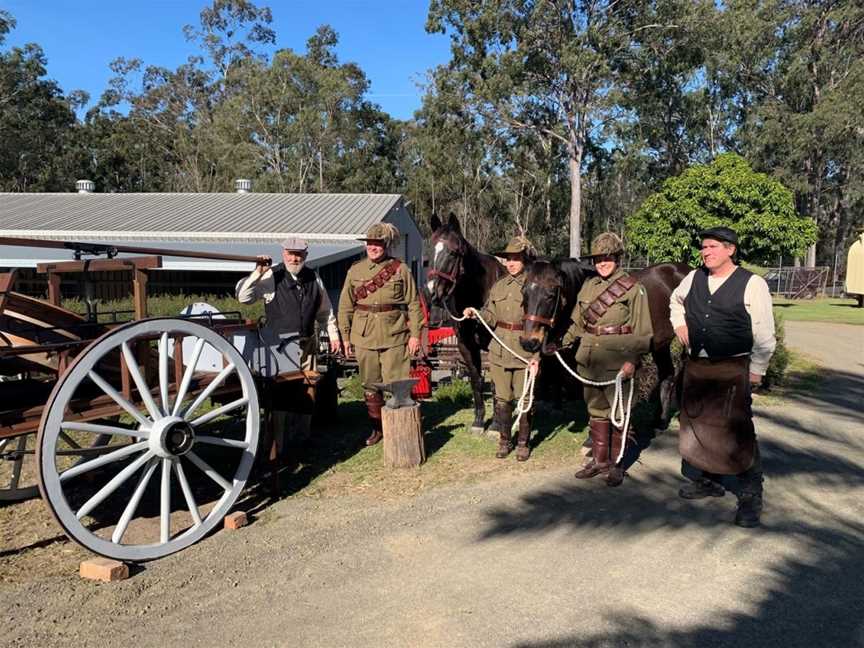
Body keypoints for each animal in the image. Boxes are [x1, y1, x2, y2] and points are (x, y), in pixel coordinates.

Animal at [426, 215, 506, 432]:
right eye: (429, 251)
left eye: (453, 252)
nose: (432, 293)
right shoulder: (466, 345)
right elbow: (476, 380)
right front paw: (479, 421)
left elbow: (495, 384)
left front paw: (496, 426)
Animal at [520, 258, 688, 430]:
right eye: (524, 292)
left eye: (551, 295)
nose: (529, 342)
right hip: (661, 346)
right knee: (667, 375)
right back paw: (660, 420)